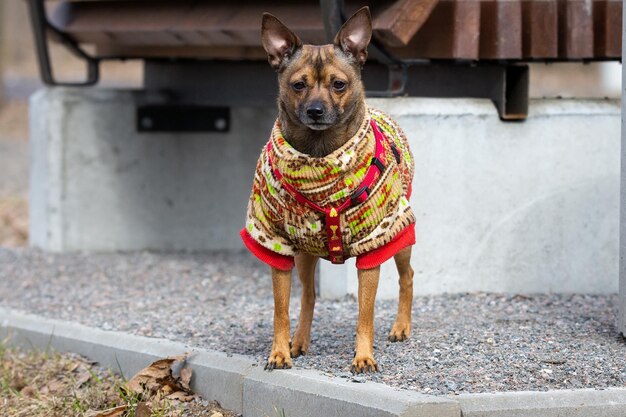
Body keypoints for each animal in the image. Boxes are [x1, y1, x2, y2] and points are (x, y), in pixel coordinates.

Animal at [245, 6, 414, 372]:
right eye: (298, 85)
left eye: (339, 84)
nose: (315, 110)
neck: (320, 154)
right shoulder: (277, 245)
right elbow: (281, 310)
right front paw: (279, 351)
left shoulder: (373, 244)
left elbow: (365, 313)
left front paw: (363, 355)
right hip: (305, 255)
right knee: (308, 295)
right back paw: (299, 341)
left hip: (400, 234)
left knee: (407, 276)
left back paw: (401, 327)